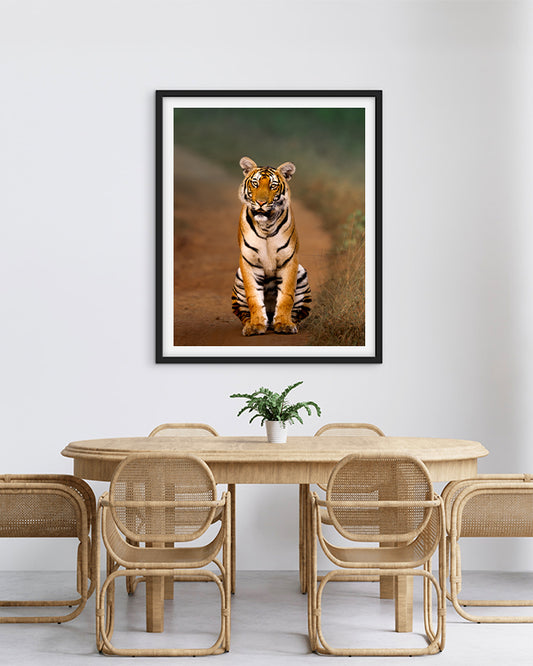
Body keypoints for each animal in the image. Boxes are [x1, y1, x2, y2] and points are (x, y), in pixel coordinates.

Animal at [231, 156, 311, 336]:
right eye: (255, 184)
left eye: (273, 186)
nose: (261, 202)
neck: (265, 225)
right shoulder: (249, 262)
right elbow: (253, 297)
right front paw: (255, 325)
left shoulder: (289, 260)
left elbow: (286, 296)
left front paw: (283, 324)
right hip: (239, 277)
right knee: (243, 313)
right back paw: (252, 323)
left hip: (302, 273)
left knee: (297, 313)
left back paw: (285, 323)